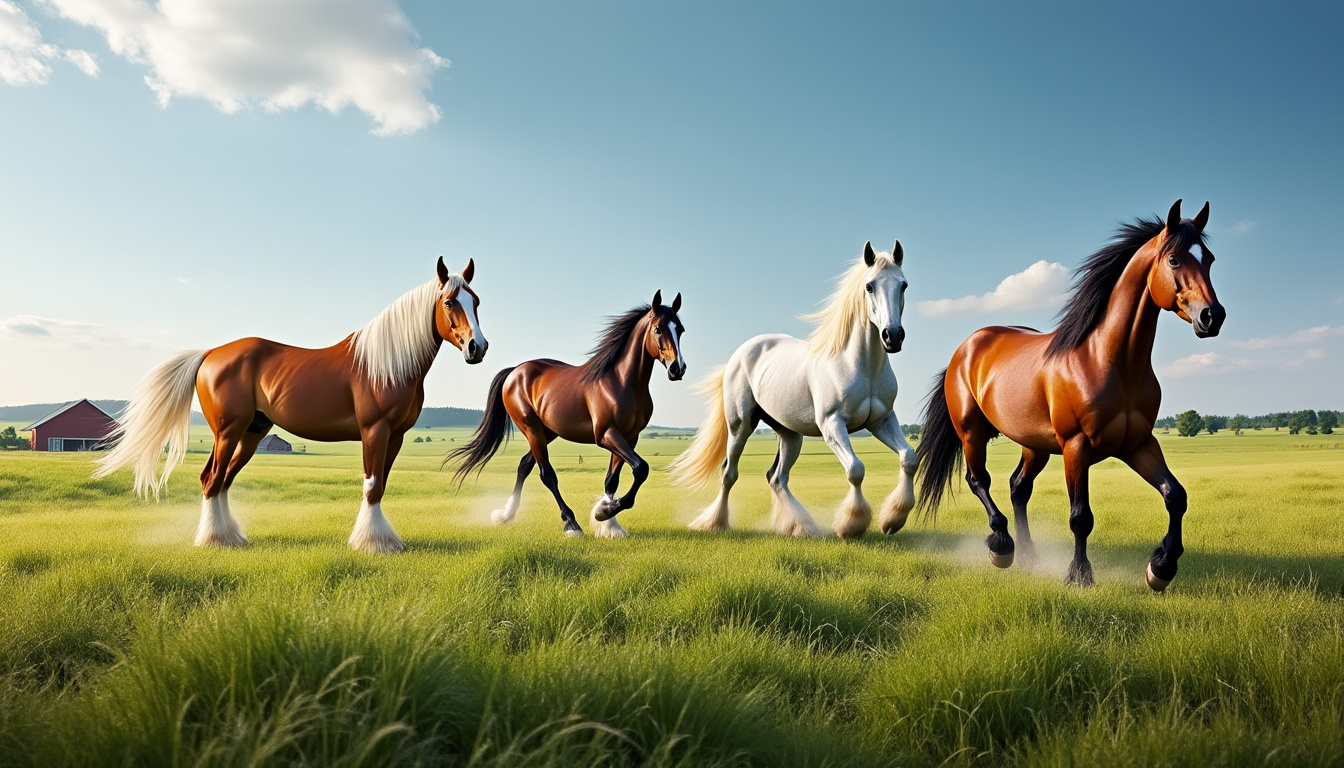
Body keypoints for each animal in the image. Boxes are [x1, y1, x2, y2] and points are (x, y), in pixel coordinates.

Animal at [93, 258, 488, 554]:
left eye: (477, 302)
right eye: (450, 302)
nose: (477, 347)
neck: (385, 364)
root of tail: (210, 354)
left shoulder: (396, 437)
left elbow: (381, 485)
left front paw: (382, 540)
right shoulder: (374, 430)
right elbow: (372, 486)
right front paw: (371, 544)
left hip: (253, 432)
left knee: (223, 480)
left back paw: (231, 538)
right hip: (228, 430)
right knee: (211, 479)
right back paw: (213, 540)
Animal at [445, 291, 686, 538]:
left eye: (681, 329)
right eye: (658, 329)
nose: (677, 368)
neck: (621, 381)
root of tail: (514, 371)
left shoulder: (630, 437)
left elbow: (613, 480)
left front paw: (609, 523)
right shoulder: (606, 435)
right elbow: (641, 469)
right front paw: (604, 512)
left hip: (547, 432)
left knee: (524, 465)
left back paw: (505, 514)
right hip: (531, 428)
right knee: (546, 474)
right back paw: (571, 523)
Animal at [669, 241, 917, 539]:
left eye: (903, 285)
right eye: (869, 286)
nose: (893, 336)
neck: (859, 365)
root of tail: (739, 355)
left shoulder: (881, 421)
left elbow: (909, 459)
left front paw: (892, 520)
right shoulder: (832, 424)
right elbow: (856, 469)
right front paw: (852, 525)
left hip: (790, 435)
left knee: (776, 478)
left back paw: (799, 526)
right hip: (740, 426)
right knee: (729, 474)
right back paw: (716, 523)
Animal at [916, 200, 1226, 590]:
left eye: (1210, 259)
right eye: (1174, 260)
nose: (1212, 316)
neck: (1105, 360)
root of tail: (965, 349)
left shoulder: (1138, 444)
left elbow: (1176, 496)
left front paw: (1161, 567)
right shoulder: (1076, 447)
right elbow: (1081, 516)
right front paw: (1079, 575)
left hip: (1033, 444)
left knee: (1018, 487)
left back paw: (1030, 557)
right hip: (971, 432)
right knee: (980, 481)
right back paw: (1002, 547)